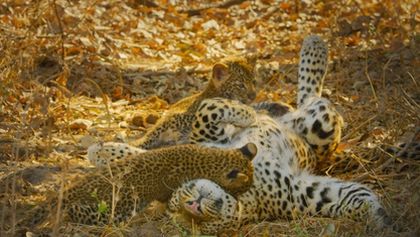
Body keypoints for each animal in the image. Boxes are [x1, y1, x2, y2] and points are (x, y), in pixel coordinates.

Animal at [13, 143, 256, 233]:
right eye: (242, 187)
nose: (238, 199)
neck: (211, 159)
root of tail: (75, 186)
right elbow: (168, 202)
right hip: (116, 208)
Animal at [165, 35, 390, 235]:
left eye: (184, 193)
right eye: (198, 222)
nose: (194, 204)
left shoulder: (205, 141)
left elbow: (207, 109)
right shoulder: (301, 192)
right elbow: (343, 195)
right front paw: (376, 215)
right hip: (319, 128)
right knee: (313, 100)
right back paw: (315, 47)